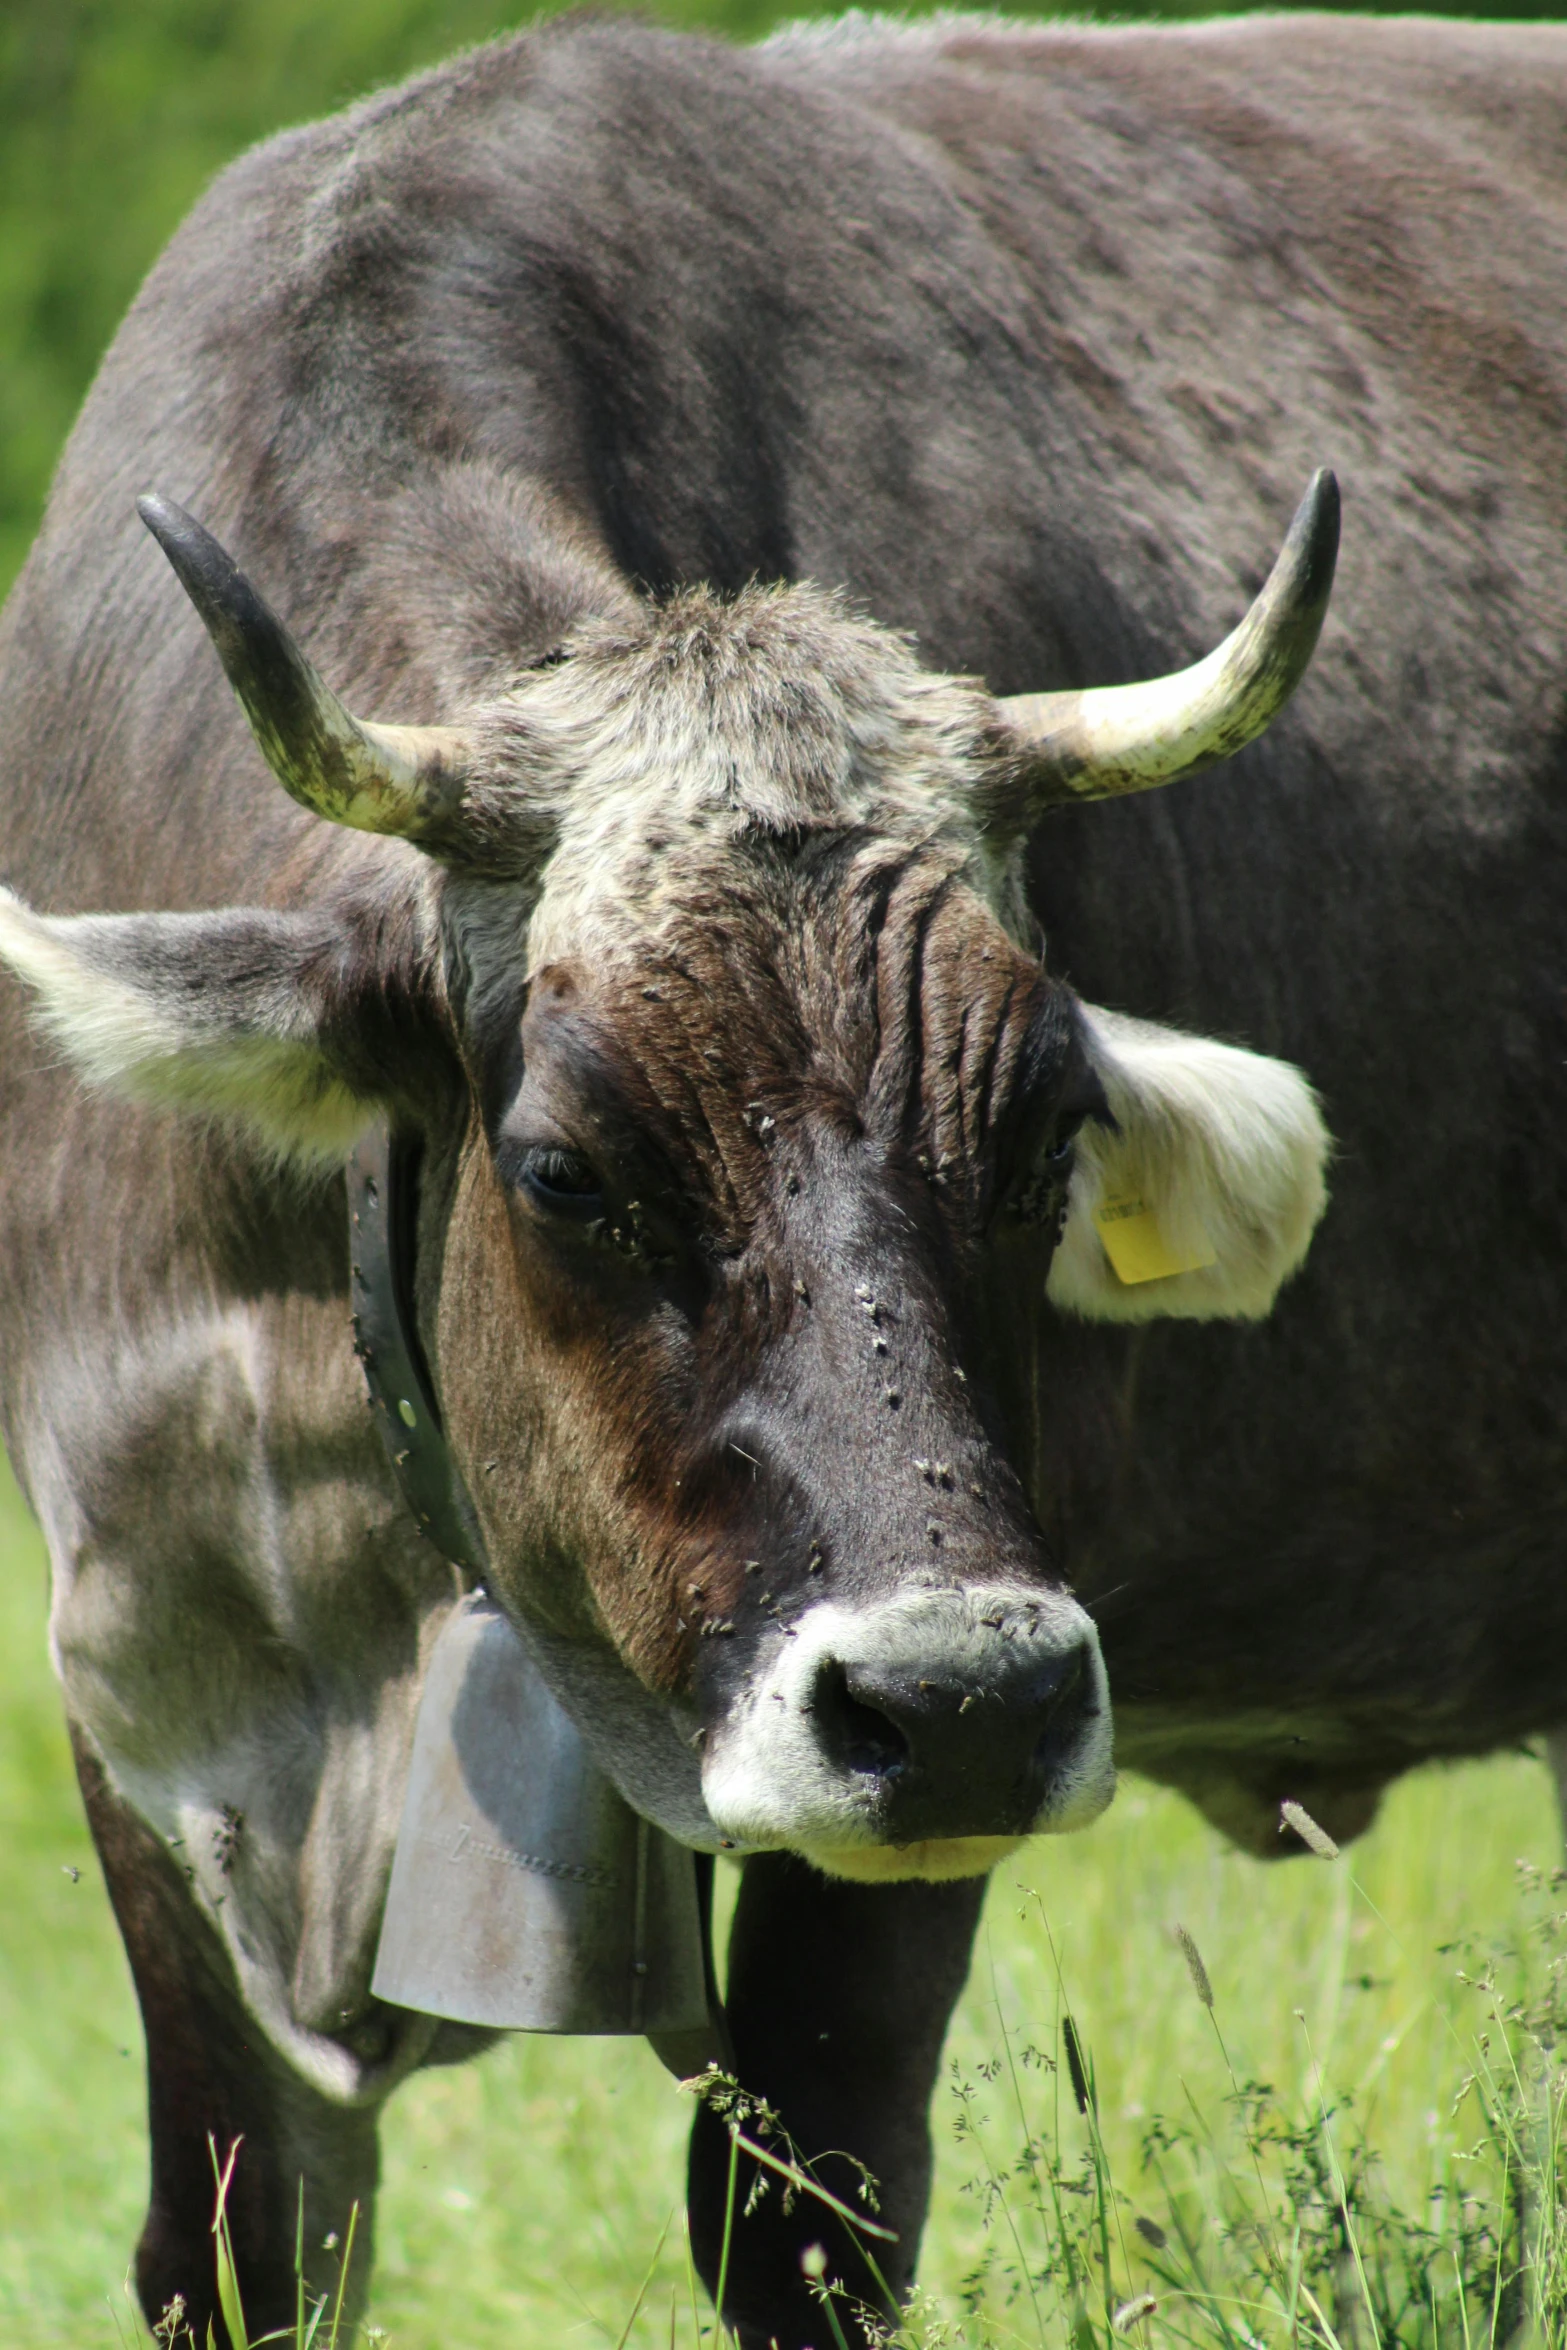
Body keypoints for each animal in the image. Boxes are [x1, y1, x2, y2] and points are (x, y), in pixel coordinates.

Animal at [0, 9, 1559, 2340]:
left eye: (1048, 1131)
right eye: (564, 1169)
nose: (968, 1692)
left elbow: (802, 2210)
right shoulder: (142, 1696)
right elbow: (230, 2244)